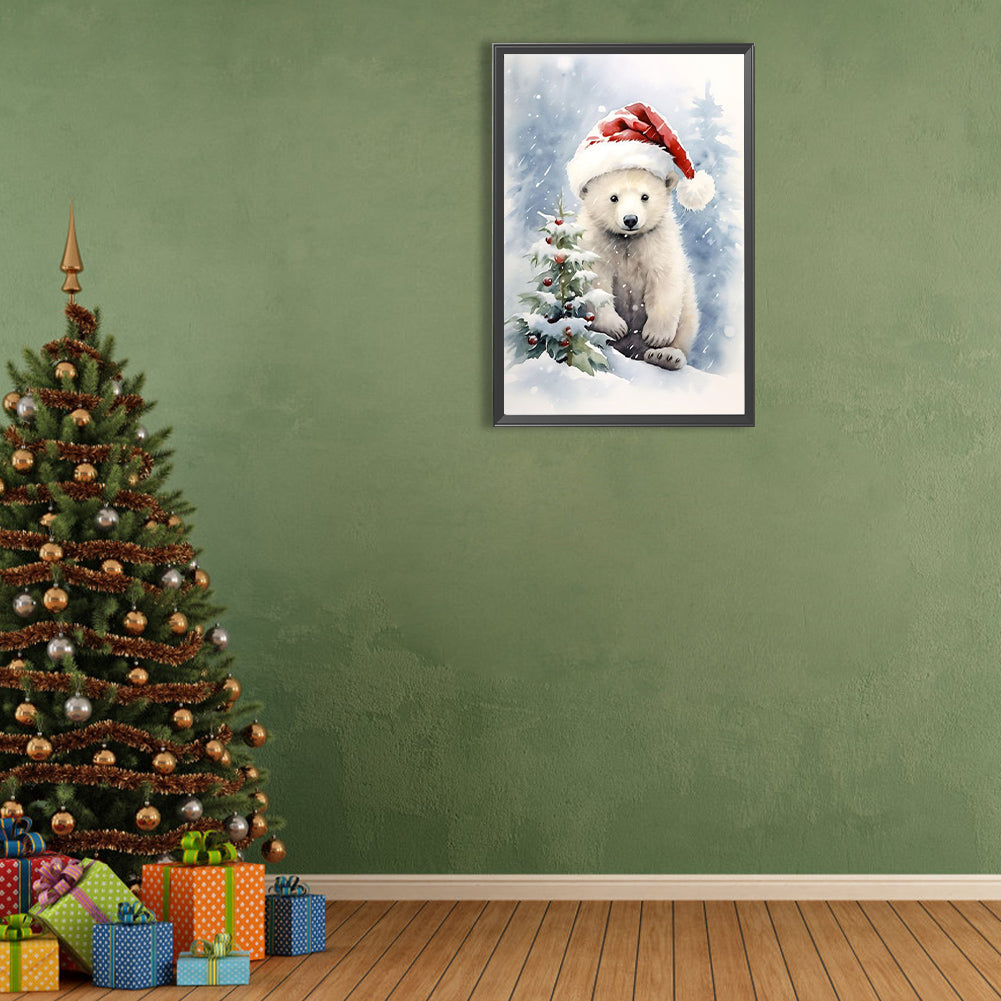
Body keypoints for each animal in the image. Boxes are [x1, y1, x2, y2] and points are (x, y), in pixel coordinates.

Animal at [578, 167, 698, 371]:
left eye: (645, 196)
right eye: (614, 197)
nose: (630, 219)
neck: (628, 239)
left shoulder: (658, 243)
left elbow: (665, 280)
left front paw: (656, 336)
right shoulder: (596, 241)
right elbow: (596, 281)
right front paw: (616, 327)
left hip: (688, 305)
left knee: (686, 323)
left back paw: (665, 356)